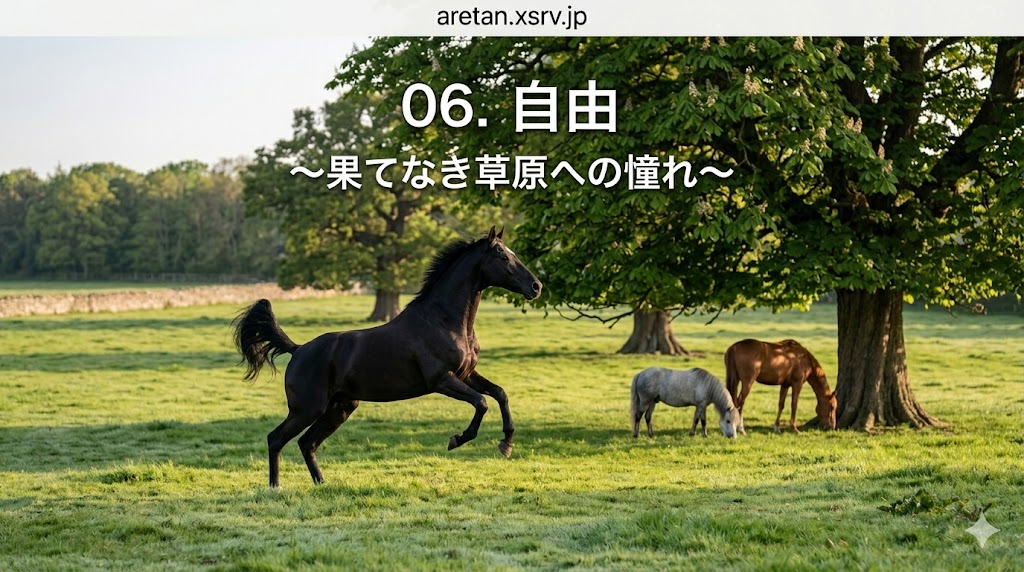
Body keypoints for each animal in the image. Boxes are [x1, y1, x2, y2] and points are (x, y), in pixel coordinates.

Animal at [233, 227, 542, 488]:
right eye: (503, 256)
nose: (536, 287)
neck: (444, 321)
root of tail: (298, 349)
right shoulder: (441, 380)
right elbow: (481, 403)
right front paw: (457, 439)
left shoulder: (467, 374)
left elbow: (499, 394)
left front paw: (506, 444)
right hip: (307, 409)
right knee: (276, 438)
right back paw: (275, 487)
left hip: (339, 408)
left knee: (306, 443)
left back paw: (321, 484)